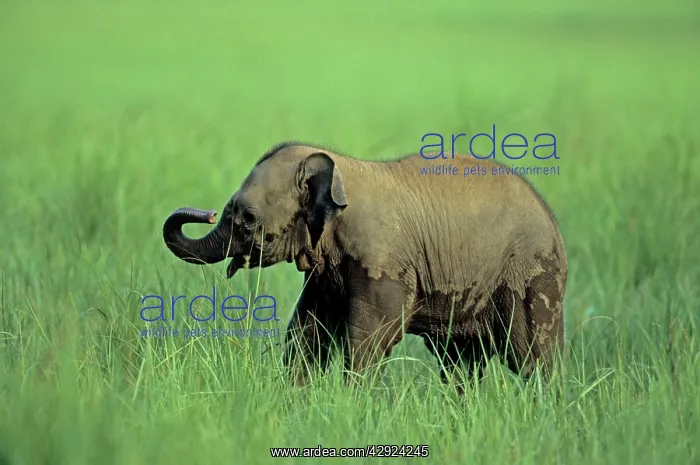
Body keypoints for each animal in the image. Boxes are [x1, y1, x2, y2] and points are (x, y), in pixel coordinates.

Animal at [162, 141, 568, 390]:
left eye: (247, 218)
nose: (206, 212)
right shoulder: (325, 274)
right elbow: (305, 333)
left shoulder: (382, 264)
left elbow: (370, 338)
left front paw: (351, 403)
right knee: (460, 365)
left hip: (532, 277)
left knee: (533, 359)